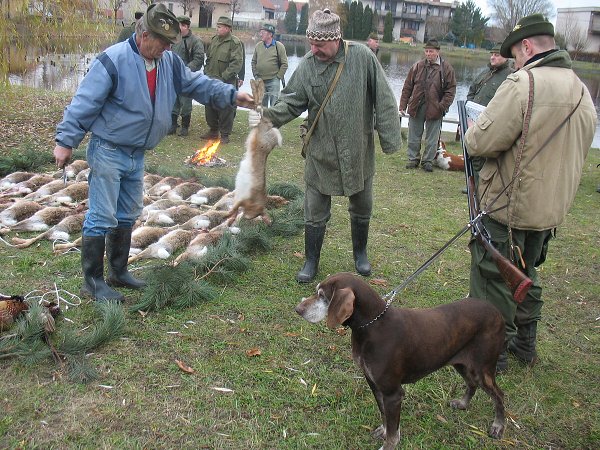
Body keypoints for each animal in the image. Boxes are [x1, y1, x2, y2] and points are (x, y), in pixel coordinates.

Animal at [296, 272, 506, 448]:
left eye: (322, 296)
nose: (298, 309)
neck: (372, 326)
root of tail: (496, 310)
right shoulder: (374, 384)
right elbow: (384, 416)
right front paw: (384, 430)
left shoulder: (393, 393)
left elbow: (392, 431)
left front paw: (389, 444)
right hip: (462, 364)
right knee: (472, 384)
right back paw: (463, 404)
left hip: (483, 369)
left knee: (498, 394)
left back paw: (498, 426)